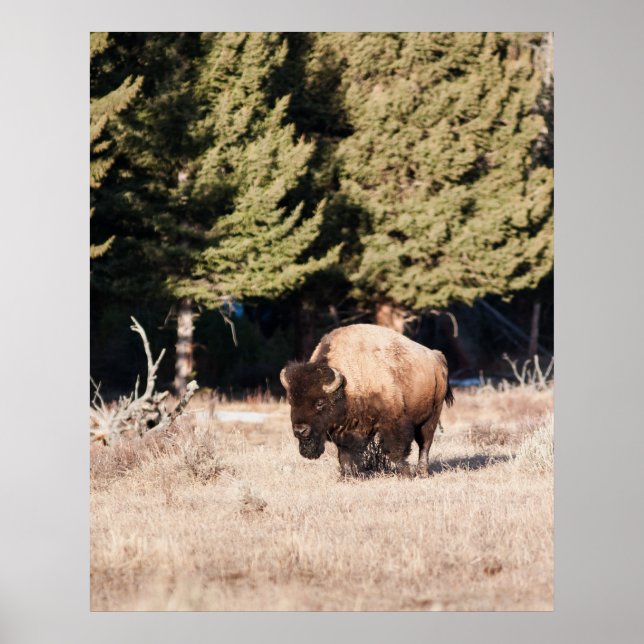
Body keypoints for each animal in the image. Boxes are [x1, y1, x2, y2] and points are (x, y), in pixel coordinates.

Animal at [280, 323, 454, 477]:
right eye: (291, 401)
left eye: (320, 402)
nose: (300, 430)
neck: (347, 385)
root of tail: (436, 357)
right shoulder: (347, 430)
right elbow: (345, 454)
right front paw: (347, 476)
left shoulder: (393, 422)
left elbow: (395, 450)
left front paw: (406, 474)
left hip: (432, 415)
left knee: (425, 443)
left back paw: (422, 472)